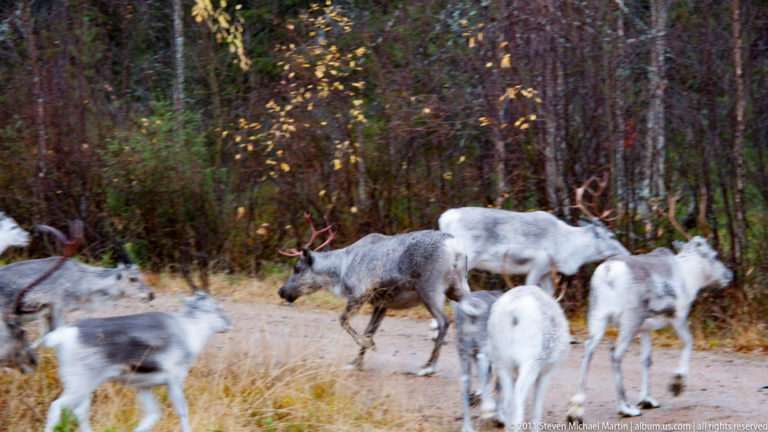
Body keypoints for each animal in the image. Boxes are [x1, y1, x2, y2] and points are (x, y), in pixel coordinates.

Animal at [43, 291, 231, 432]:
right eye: (215, 307)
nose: (229, 323)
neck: (189, 332)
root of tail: (64, 334)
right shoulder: (175, 380)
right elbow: (182, 411)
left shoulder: (144, 387)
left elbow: (152, 415)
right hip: (81, 384)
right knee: (57, 406)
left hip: (83, 386)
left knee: (80, 413)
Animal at [277, 213, 471, 376]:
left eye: (297, 268)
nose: (281, 291)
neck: (340, 270)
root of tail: (457, 249)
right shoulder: (382, 304)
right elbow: (369, 330)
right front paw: (356, 362)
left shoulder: (358, 295)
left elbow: (344, 320)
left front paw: (367, 346)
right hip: (459, 288)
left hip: (430, 289)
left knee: (444, 321)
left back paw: (428, 366)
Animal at [438, 176, 629, 296]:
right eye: (612, 236)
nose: (627, 254)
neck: (567, 245)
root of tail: (445, 218)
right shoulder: (538, 265)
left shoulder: (547, 272)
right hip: (468, 256)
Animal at [566, 192, 733, 423]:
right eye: (716, 255)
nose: (729, 275)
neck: (689, 275)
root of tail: (608, 271)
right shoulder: (678, 315)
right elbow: (689, 342)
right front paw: (677, 383)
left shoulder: (646, 328)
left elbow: (646, 360)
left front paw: (647, 399)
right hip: (630, 318)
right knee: (615, 353)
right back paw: (625, 408)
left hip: (597, 315)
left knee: (589, 348)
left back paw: (576, 410)